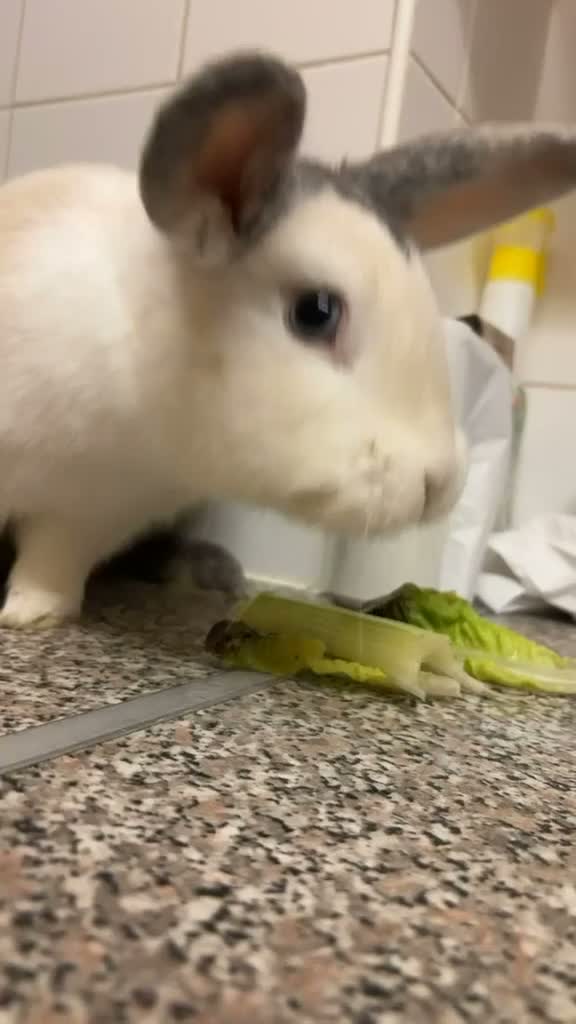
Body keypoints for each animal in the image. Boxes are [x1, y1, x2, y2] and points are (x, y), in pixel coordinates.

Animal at [1, 50, 576, 629]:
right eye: (315, 313)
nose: (438, 483)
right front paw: (25, 620)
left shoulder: (91, 514)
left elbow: (53, 561)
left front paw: (34, 611)